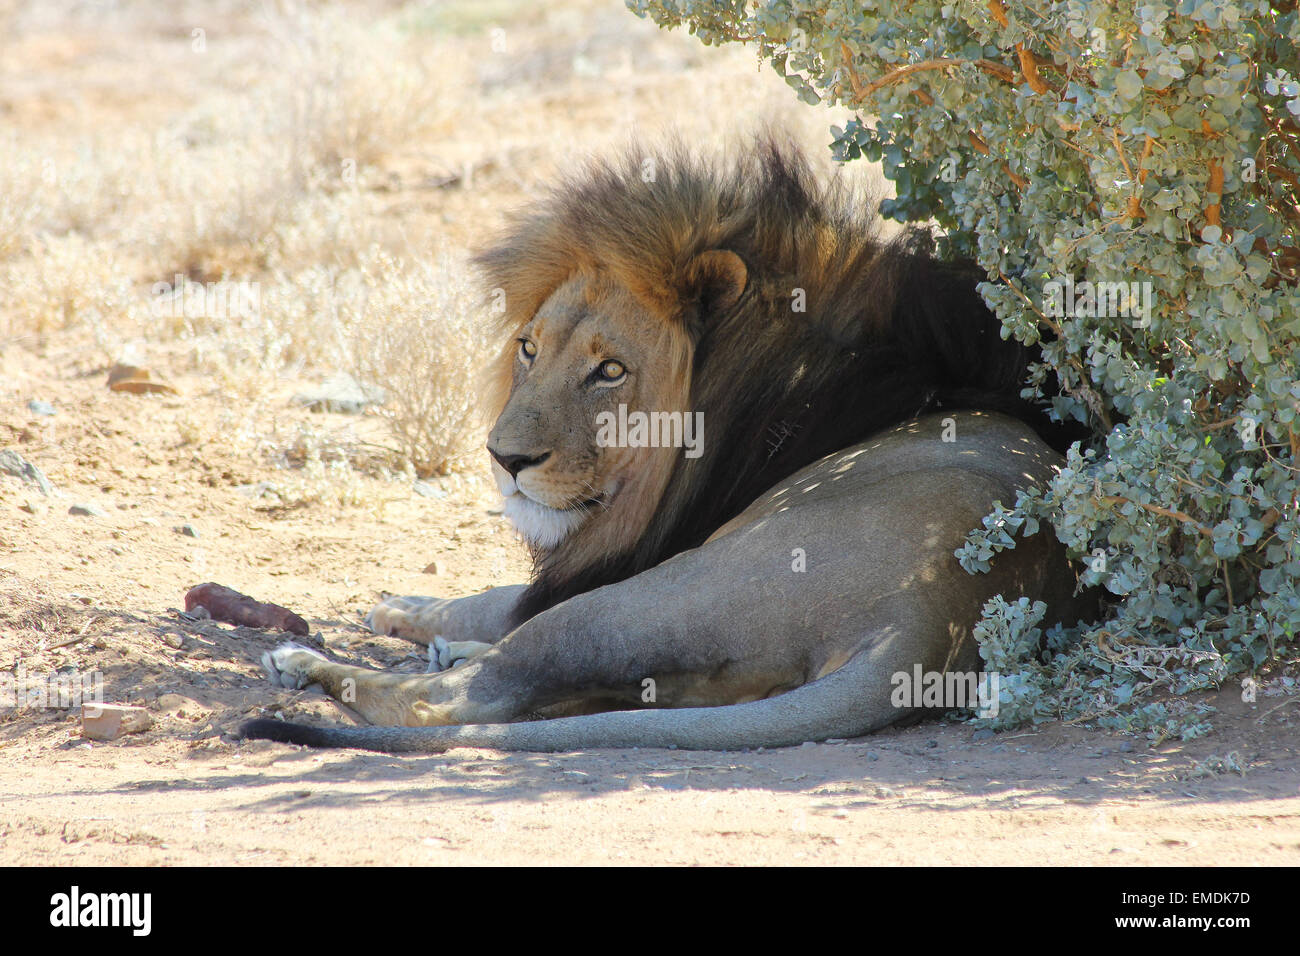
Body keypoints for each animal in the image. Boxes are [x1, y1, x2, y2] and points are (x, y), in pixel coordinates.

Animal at [241, 137, 1093, 752]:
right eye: (527, 350)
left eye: (610, 371)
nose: (504, 461)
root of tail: (926, 616)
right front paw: (408, 609)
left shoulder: (621, 558)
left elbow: (496, 598)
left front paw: (405, 612)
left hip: (654, 594)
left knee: (454, 699)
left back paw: (307, 666)